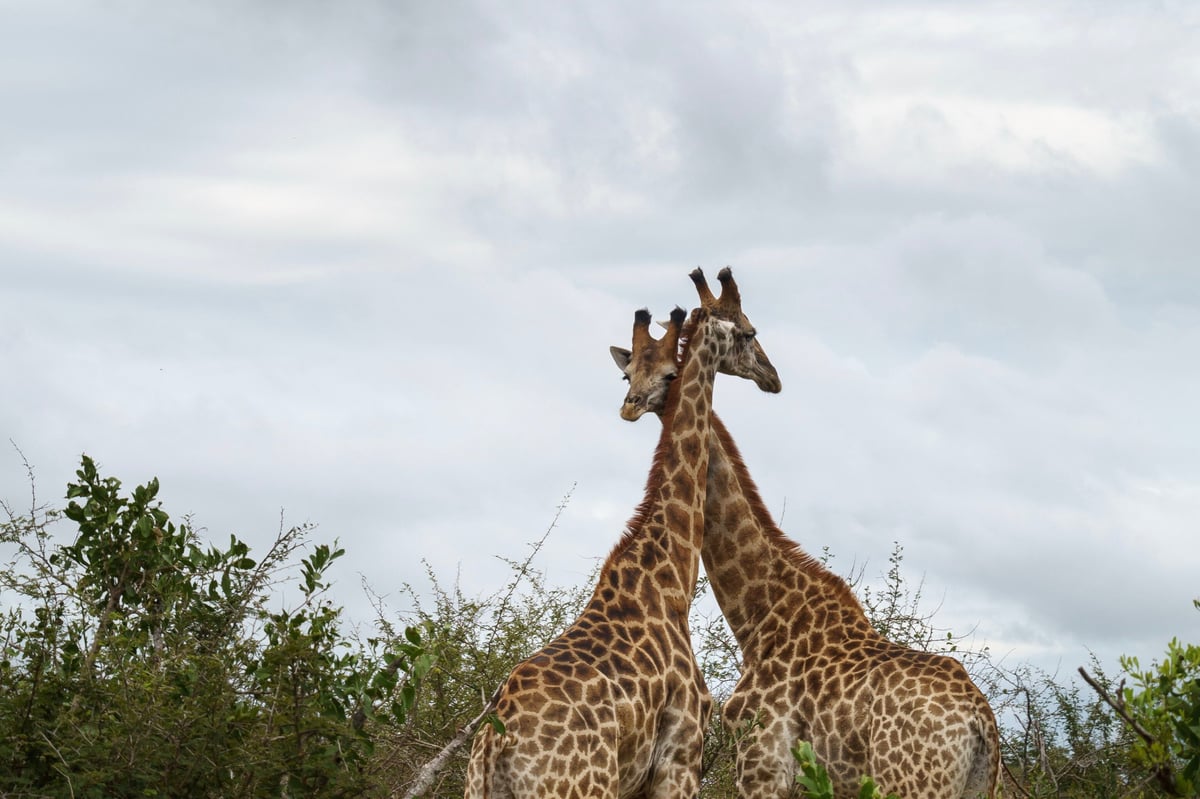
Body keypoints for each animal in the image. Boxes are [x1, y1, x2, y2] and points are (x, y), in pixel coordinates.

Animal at [463, 268, 782, 796]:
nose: (772, 377)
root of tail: (495, 747)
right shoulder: (682, 751)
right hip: (583, 785)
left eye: (665, 372)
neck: (670, 580)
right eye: (749, 331)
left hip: (477, 786)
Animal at [614, 302, 998, 791]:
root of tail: (980, 720)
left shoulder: (760, 761)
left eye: (668, 372)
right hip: (980, 784)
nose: (630, 405)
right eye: (627, 372)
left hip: (910, 782)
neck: (760, 617)